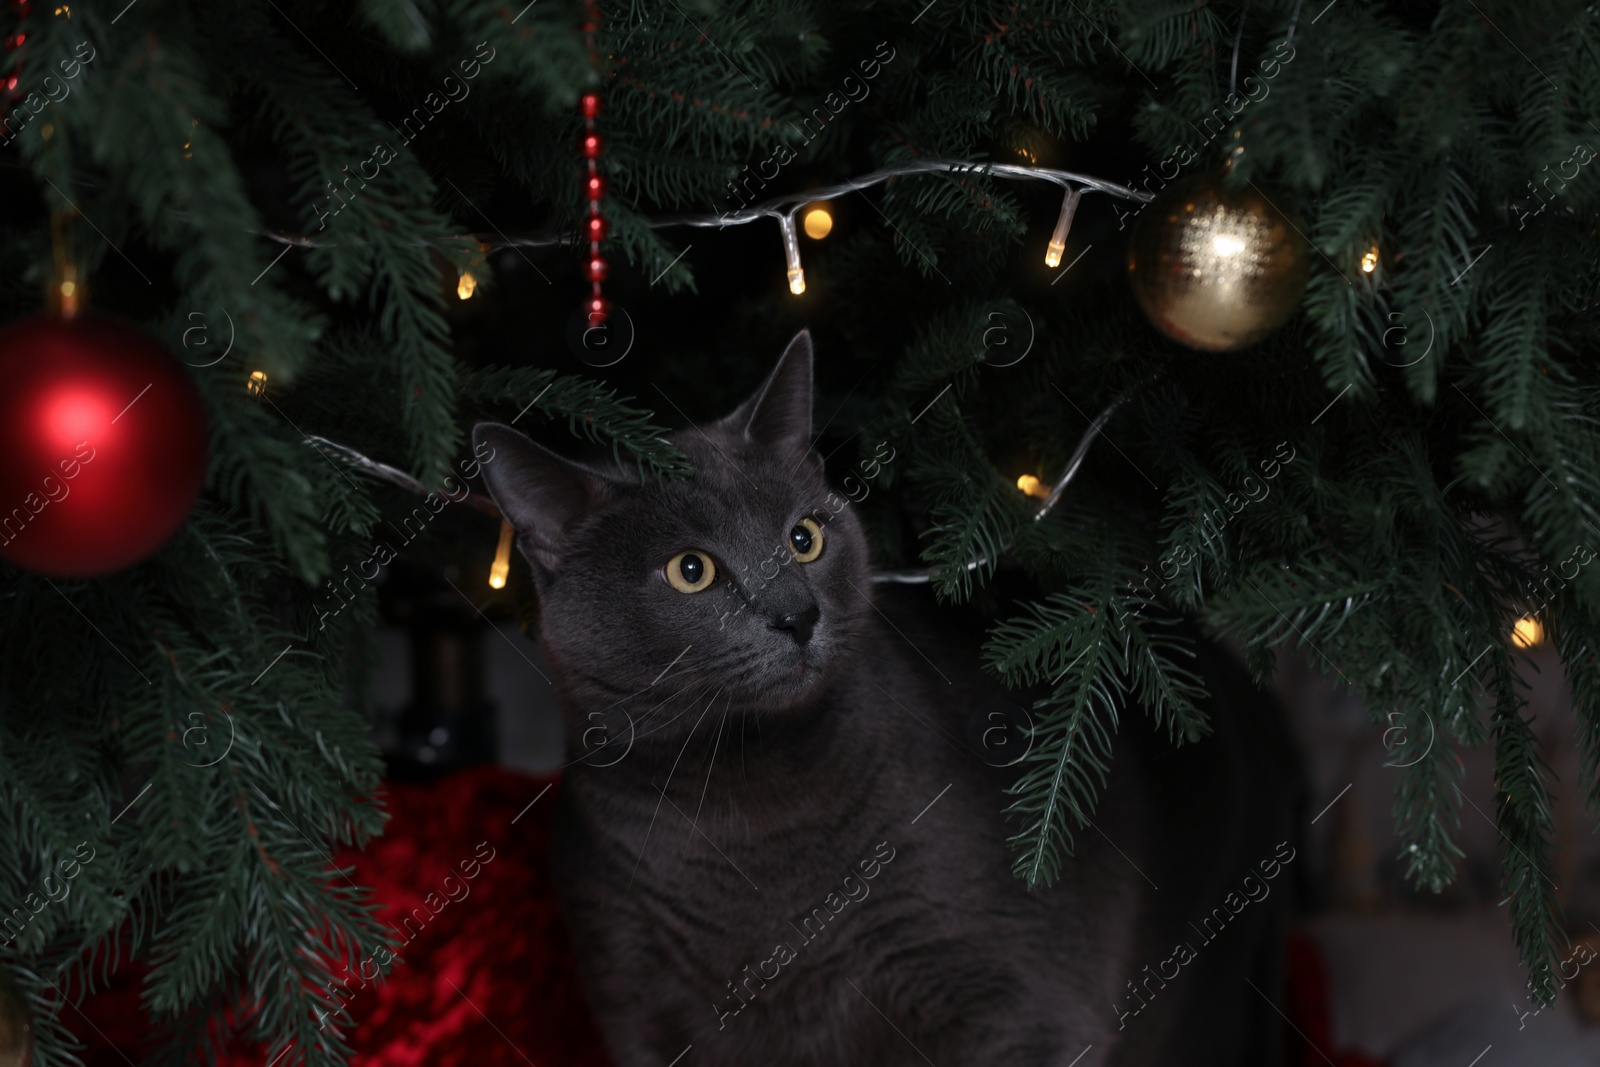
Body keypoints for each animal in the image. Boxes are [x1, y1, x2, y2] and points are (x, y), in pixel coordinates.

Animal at [473, 334, 1299, 1067]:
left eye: (804, 537)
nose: (796, 613)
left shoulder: (1024, 1003)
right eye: (690, 570)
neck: (747, 809)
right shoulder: (630, 994)